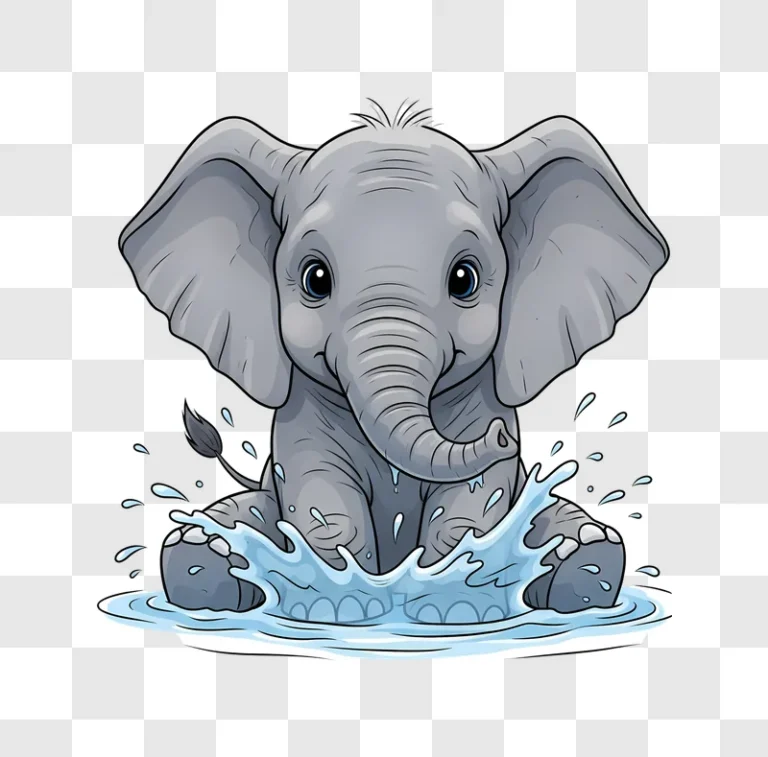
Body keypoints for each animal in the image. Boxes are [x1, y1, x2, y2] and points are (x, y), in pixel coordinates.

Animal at [118, 102, 668, 618]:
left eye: (464, 279)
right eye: (315, 279)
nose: (503, 440)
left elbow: (470, 507)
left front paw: (448, 614)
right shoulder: (302, 420)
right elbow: (324, 505)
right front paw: (341, 613)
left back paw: (583, 560)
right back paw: (203, 557)